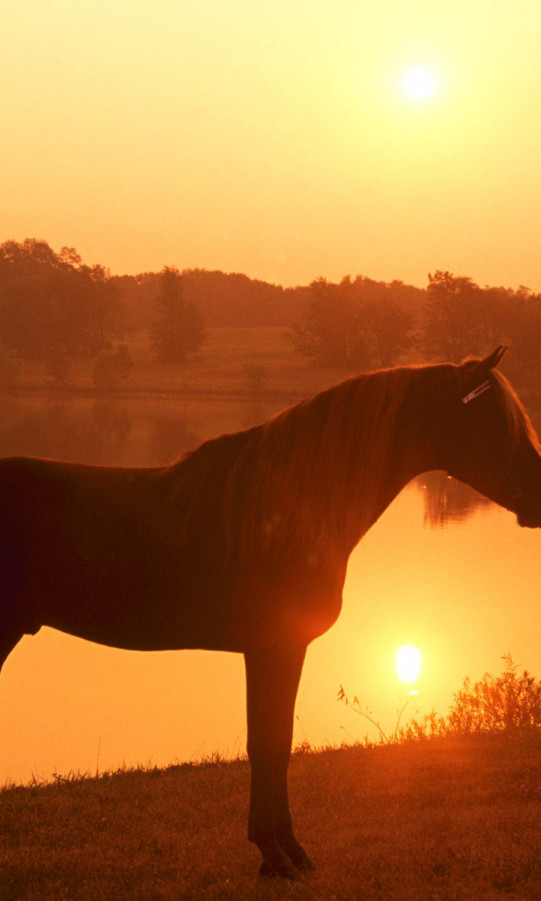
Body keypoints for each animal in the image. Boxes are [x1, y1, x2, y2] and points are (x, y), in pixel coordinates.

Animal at [1, 342, 540, 872]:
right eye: (496, 420)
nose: (537, 496)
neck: (289, 511)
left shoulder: (276, 650)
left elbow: (273, 743)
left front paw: (283, 849)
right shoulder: (276, 648)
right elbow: (269, 745)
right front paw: (278, 853)